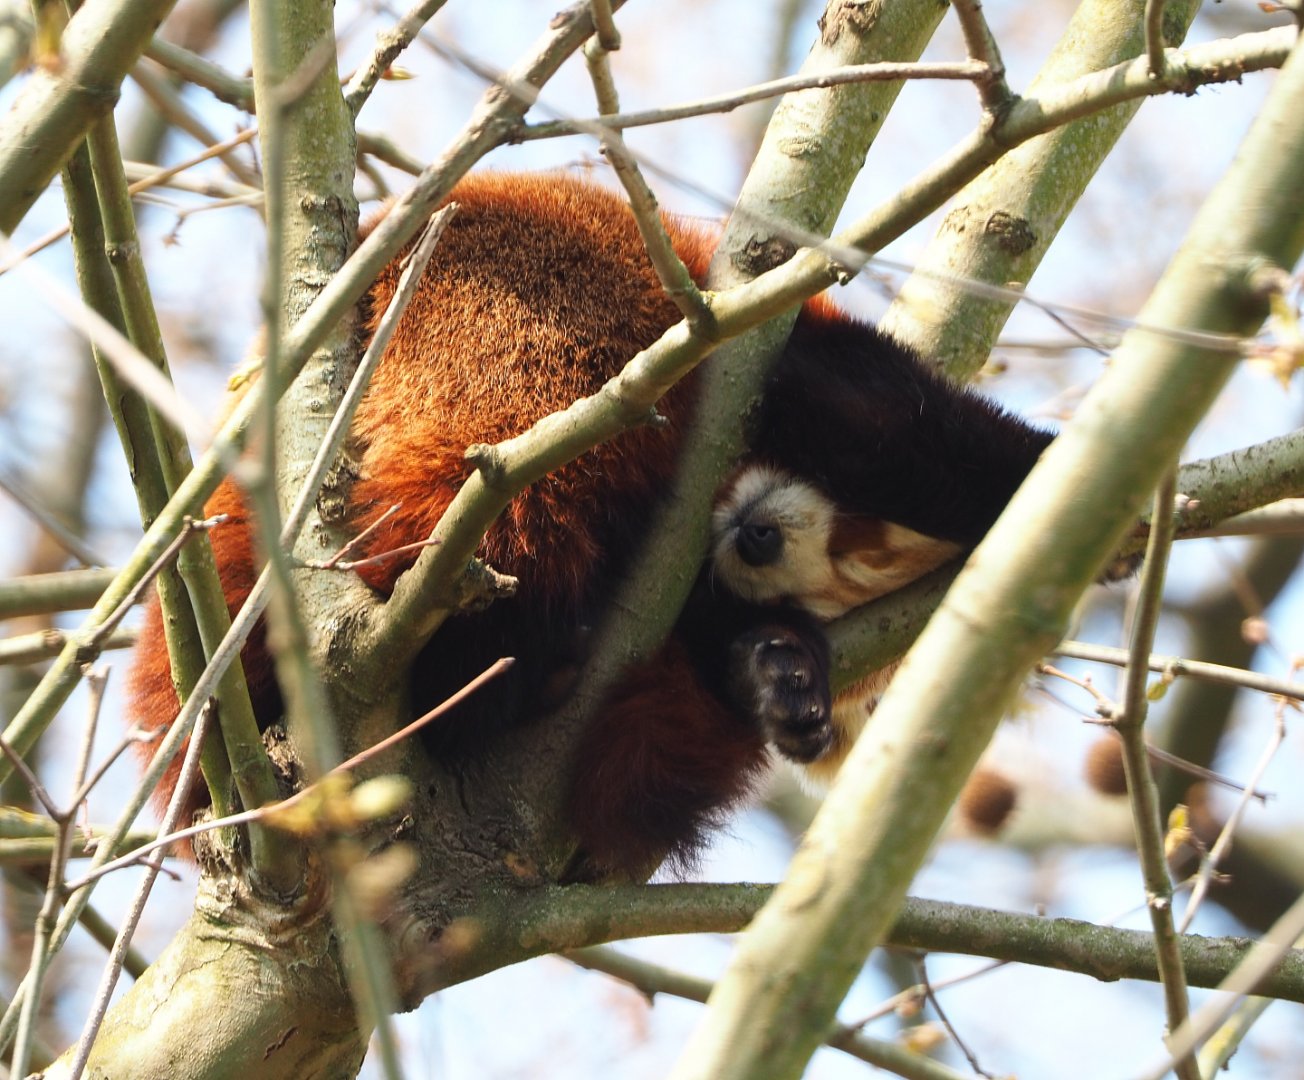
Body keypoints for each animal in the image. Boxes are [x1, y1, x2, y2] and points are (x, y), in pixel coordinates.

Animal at [126, 171, 1052, 877]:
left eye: (840, 579)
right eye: (860, 538)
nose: (761, 538)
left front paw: (778, 671)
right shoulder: (782, 350)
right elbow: (891, 424)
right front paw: (1035, 467)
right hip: (520, 305)